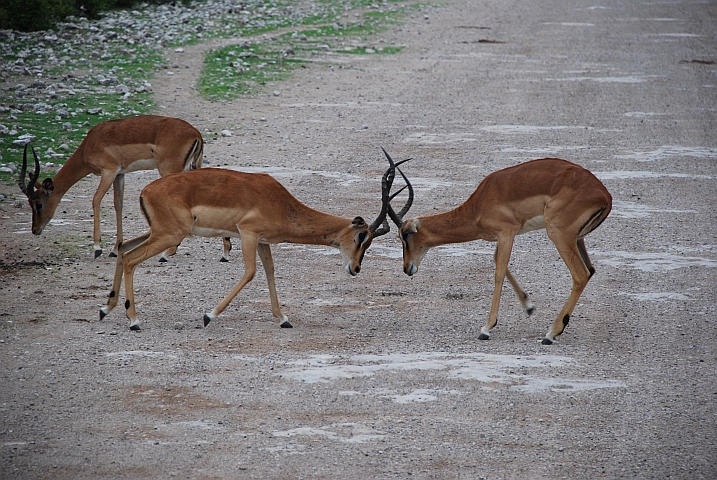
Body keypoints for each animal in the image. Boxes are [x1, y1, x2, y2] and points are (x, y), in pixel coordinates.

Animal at [17, 115, 232, 261]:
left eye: (38, 204)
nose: (35, 230)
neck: (90, 144)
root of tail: (196, 134)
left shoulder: (109, 171)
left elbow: (96, 200)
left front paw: (97, 248)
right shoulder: (120, 174)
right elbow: (118, 205)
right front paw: (114, 249)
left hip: (169, 169)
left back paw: (168, 252)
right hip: (193, 167)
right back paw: (225, 252)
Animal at [99, 152, 411, 330]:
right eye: (361, 236)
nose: (355, 268)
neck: (280, 203)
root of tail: (147, 190)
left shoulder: (263, 242)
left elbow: (270, 272)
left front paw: (284, 319)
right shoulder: (248, 234)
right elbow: (250, 272)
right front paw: (208, 316)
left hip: (158, 232)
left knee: (123, 248)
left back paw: (106, 310)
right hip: (169, 235)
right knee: (131, 258)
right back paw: (134, 321)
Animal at [386, 156, 612, 344]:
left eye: (404, 235)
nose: (406, 268)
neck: (478, 205)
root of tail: (604, 195)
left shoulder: (506, 232)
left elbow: (499, 272)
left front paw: (486, 328)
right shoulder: (502, 237)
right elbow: (497, 260)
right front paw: (529, 307)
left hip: (558, 234)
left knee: (580, 274)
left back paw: (550, 334)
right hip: (578, 239)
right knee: (590, 270)